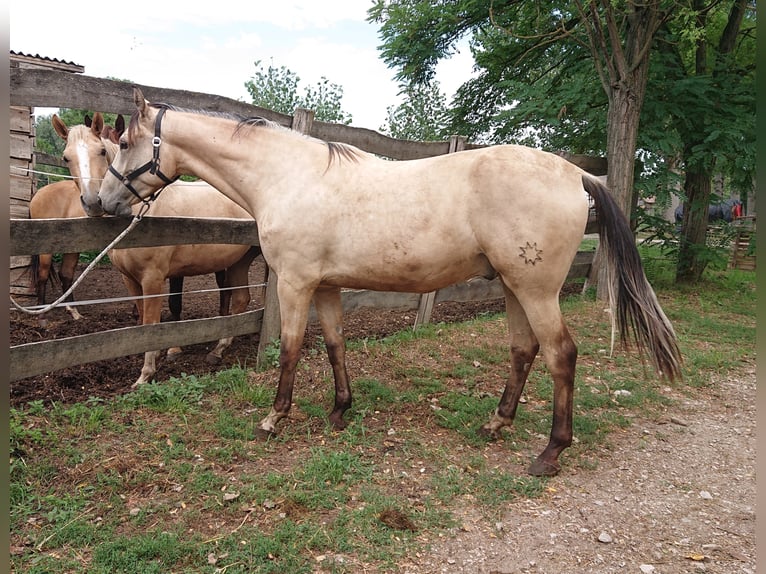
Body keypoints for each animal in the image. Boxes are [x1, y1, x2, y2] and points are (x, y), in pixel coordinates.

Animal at [53, 111, 264, 392]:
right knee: (240, 299)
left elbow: (152, 322)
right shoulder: (130, 279)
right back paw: (218, 349)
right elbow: (144, 319)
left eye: (101, 151)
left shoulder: (153, 279)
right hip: (240, 261)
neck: (143, 212)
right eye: (66, 158)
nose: (93, 201)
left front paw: (145, 374)